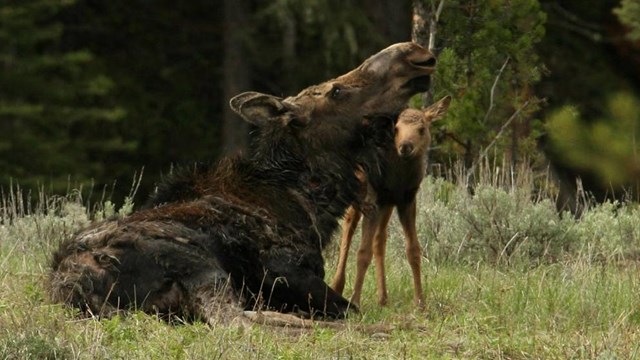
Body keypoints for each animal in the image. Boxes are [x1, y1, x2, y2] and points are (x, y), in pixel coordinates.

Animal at [48, 41, 436, 320]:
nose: (414, 55)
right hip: (202, 267)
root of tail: (73, 287)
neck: (312, 202)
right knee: (240, 320)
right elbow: (350, 308)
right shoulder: (284, 271)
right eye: (336, 91)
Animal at [330, 95, 450, 306]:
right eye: (397, 129)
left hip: (386, 205)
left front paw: (420, 302)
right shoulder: (373, 200)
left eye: (422, 128)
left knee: (380, 240)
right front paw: (355, 301)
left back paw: (382, 297)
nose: (405, 147)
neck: (398, 179)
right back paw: (337, 285)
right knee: (347, 229)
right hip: (357, 196)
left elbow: (413, 250)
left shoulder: (406, 201)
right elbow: (362, 253)